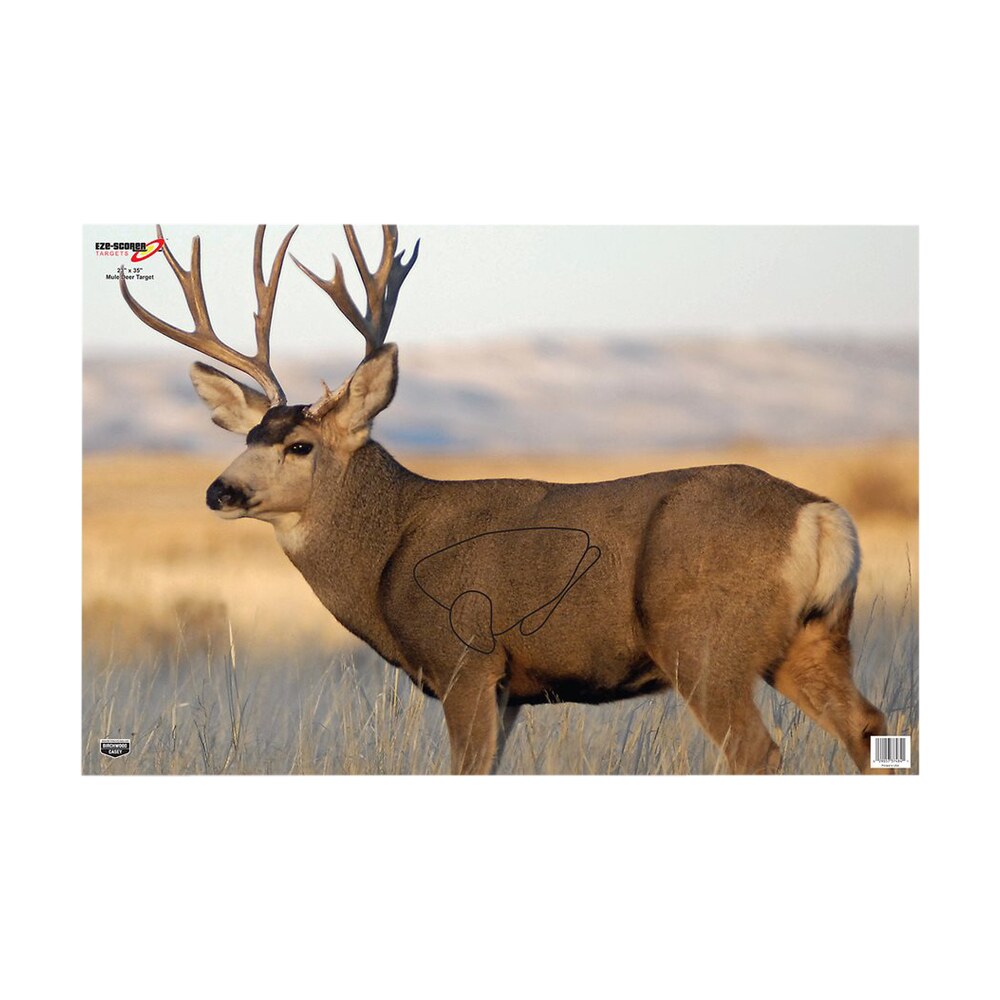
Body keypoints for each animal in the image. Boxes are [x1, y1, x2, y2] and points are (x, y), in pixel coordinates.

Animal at [119, 224, 891, 775]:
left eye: (301, 446)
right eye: (251, 433)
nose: (220, 490)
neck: (388, 555)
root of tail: (820, 516)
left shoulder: (466, 660)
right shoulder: (513, 690)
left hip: (705, 644)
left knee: (760, 750)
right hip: (812, 638)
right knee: (871, 728)